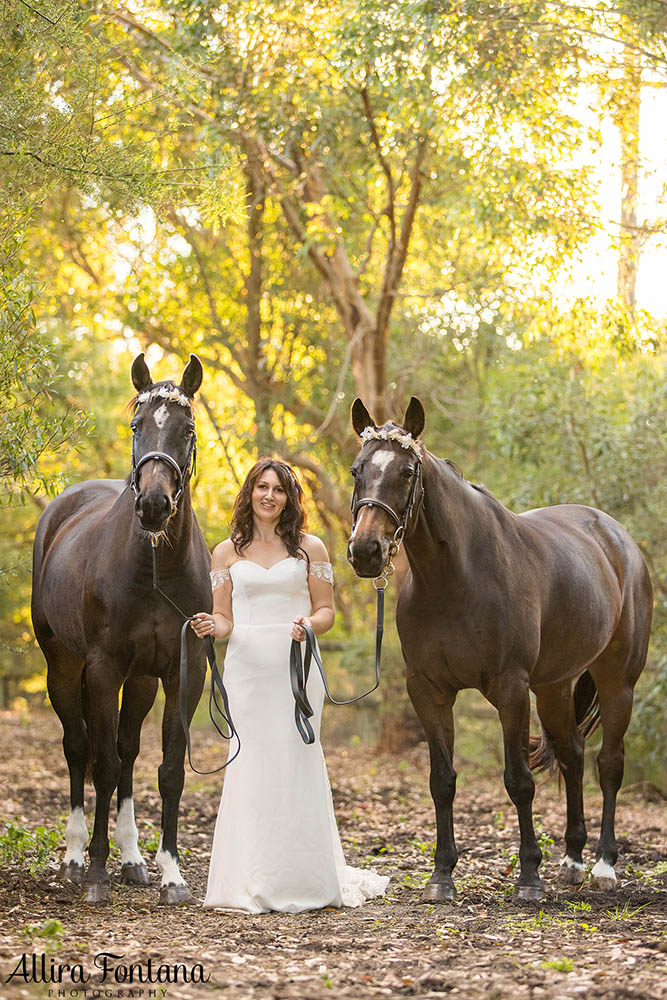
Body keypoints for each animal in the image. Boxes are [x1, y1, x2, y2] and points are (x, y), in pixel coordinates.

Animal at [31, 354, 211, 908]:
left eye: (186, 429)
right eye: (137, 425)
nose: (152, 505)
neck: (156, 568)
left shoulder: (182, 674)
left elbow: (168, 770)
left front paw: (171, 874)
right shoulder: (104, 670)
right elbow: (103, 764)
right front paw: (94, 872)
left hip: (142, 681)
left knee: (128, 752)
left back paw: (132, 861)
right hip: (64, 668)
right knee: (79, 749)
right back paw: (73, 858)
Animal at [350, 394, 652, 904]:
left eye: (407, 472)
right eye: (357, 470)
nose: (365, 551)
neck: (455, 577)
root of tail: (619, 538)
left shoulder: (511, 689)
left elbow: (519, 781)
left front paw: (528, 877)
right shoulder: (428, 691)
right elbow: (442, 781)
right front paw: (441, 876)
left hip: (617, 683)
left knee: (609, 764)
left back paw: (604, 865)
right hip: (554, 687)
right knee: (572, 754)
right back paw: (572, 859)